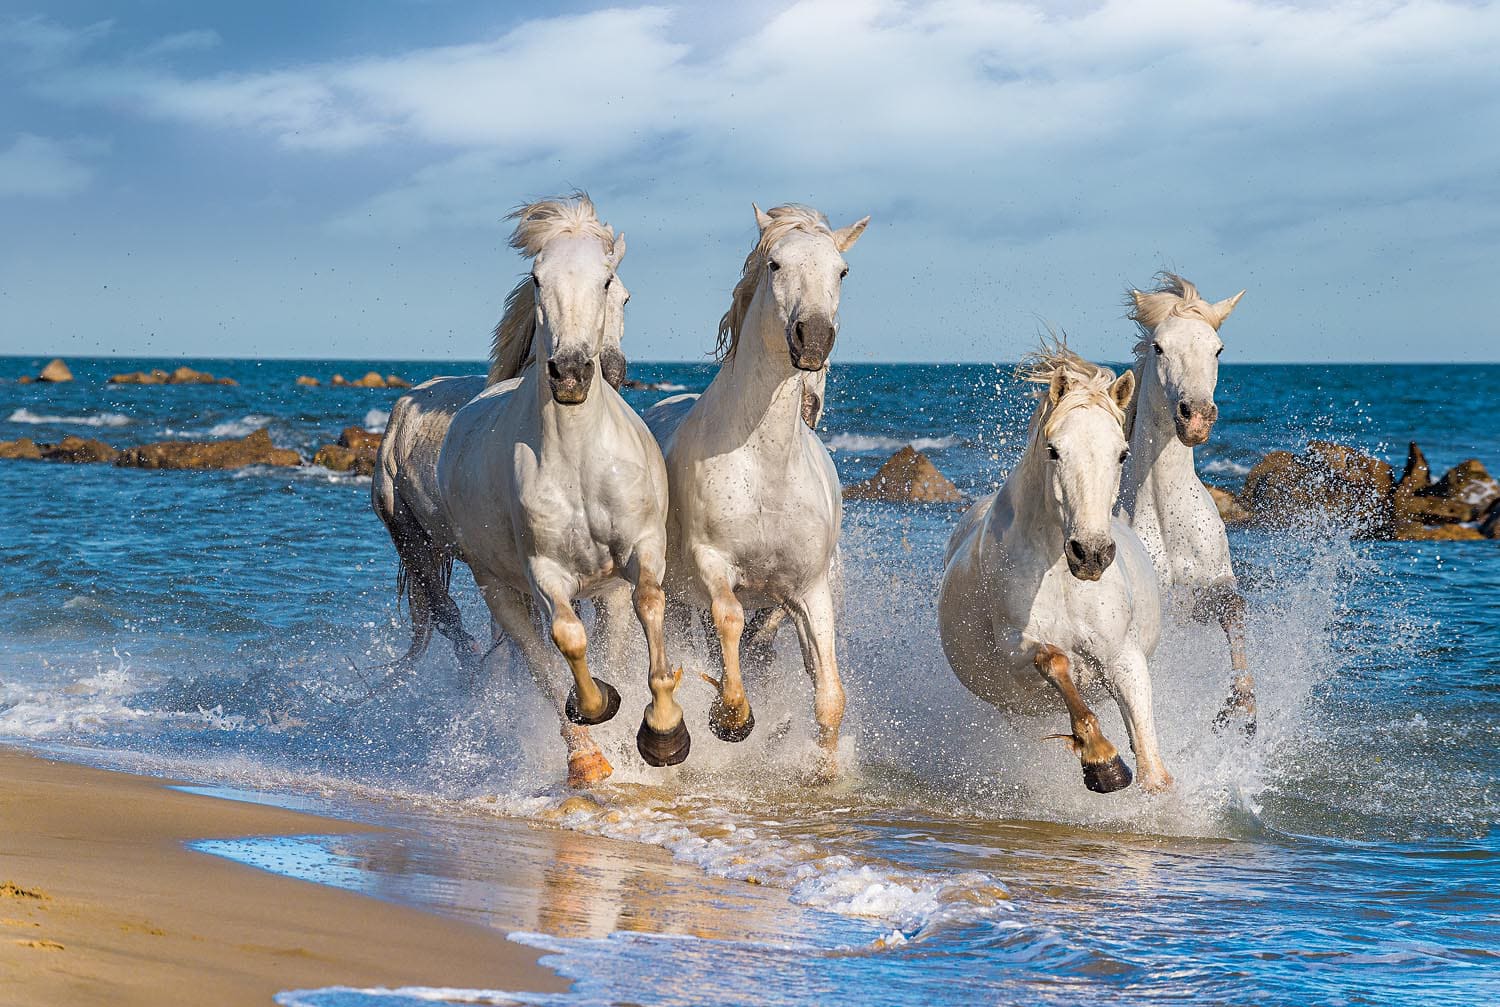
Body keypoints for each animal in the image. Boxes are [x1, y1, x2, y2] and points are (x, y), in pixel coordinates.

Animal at [436, 195, 682, 787]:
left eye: (611, 282)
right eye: (537, 278)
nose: (571, 372)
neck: (578, 458)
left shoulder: (642, 550)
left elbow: (650, 606)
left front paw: (665, 733)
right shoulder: (544, 572)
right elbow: (568, 641)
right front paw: (598, 708)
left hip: (605, 592)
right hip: (499, 591)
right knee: (540, 660)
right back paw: (586, 757)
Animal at [642, 202, 868, 777]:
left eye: (842, 271)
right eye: (775, 264)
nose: (813, 338)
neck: (767, 467)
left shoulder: (808, 591)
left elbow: (829, 693)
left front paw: (824, 772)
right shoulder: (713, 564)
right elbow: (729, 619)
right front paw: (730, 717)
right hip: (679, 598)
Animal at [938, 342, 1172, 794]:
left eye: (1122, 453)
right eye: (1054, 450)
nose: (1091, 554)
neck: (1062, 577)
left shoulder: (1124, 657)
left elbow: (1152, 766)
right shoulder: (1016, 648)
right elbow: (1055, 660)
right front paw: (1103, 761)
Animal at [1116, 273, 1253, 733]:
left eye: (1218, 349)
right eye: (1158, 347)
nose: (1195, 417)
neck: (1165, 514)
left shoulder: (1210, 586)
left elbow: (1234, 608)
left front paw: (1241, 705)